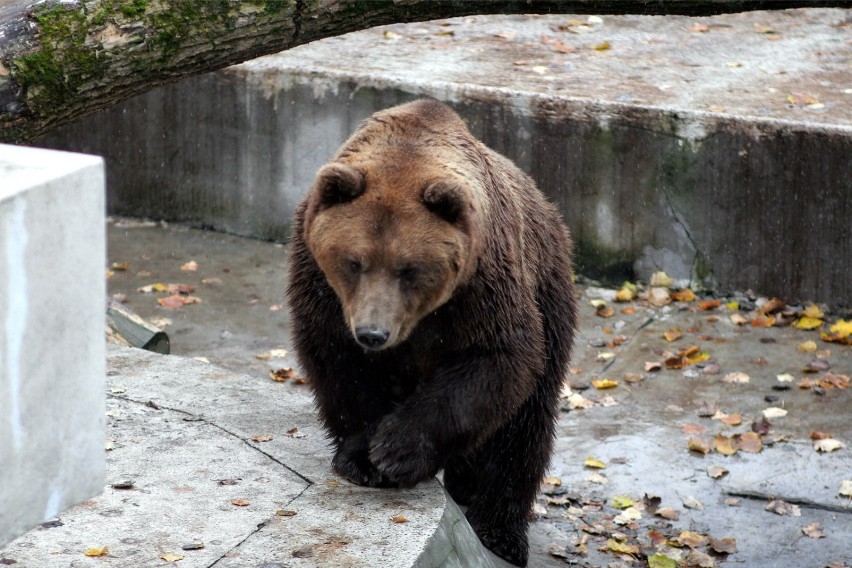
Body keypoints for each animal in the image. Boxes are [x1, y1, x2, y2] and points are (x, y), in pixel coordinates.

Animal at [288, 100, 580, 564]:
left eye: (408, 269)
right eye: (354, 262)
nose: (373, 334)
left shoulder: (482, 287)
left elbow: (494, 361)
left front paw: (397, 450)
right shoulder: (322, 290)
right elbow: (339, 365)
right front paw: (363, 458)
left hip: (549, 290)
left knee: (525, 424)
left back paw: (498, 528)